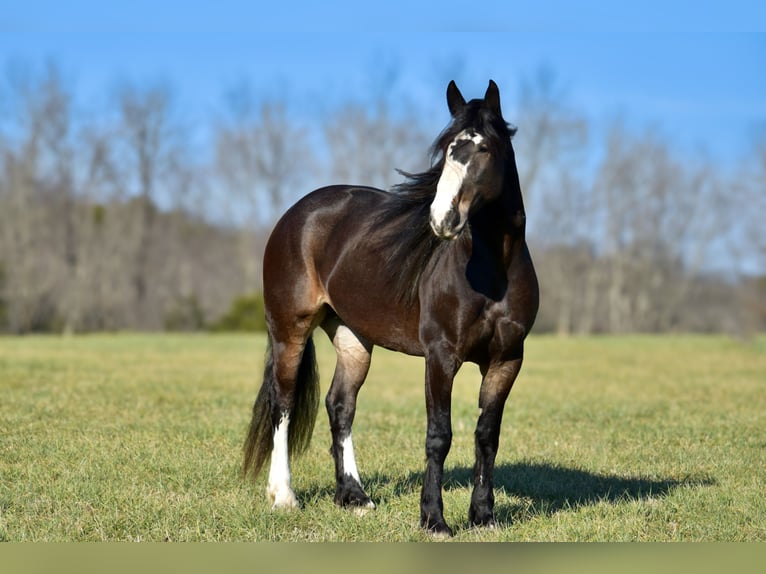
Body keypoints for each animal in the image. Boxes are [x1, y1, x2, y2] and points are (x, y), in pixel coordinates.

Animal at [244, 79, 540, 536]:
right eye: (447, 149)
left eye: (484, 147)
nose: (442, 219)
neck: (494, 270)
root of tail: (298, 214)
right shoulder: (441, 357)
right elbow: (439, 435)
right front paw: (434, 520)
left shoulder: (507, 359)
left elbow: (486, 435)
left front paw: (484, 517)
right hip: (288, 331)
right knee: (284, 405)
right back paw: (284, 496)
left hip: (353, 339)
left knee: (340, 406)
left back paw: (354, 497)